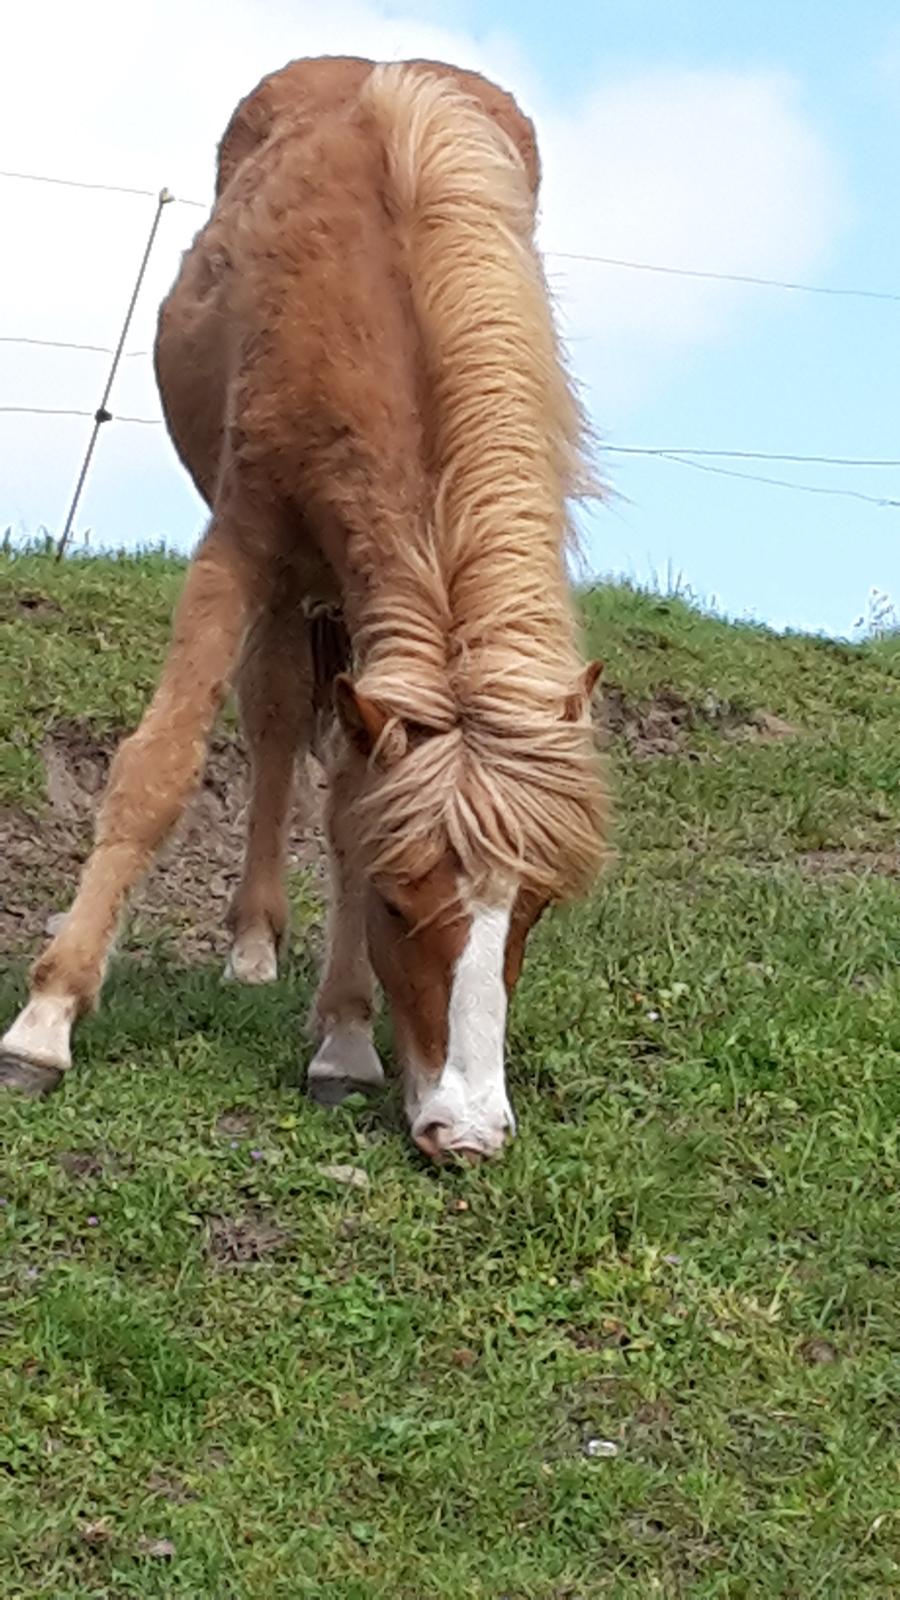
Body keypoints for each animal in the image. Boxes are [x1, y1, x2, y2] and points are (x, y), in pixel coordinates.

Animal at [0, 56, 605, 1158]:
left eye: (534, 907)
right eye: (403, 905)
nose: (466, 1130)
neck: (385, 308)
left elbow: (354, 808)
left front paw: (345, 1039)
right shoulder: (238, 545)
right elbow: (158, 770)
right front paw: (45, 1021)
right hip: (285, 580)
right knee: (276, 720)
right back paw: (249, 943)